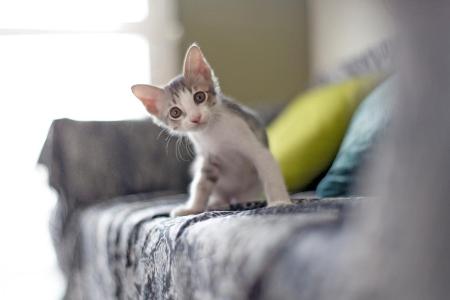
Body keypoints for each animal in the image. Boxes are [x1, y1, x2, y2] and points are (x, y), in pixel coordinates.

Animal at [132, 43, 290, 216]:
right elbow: (201, 185)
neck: (213, 132)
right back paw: (218, 202)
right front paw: (192, 208)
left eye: (199, 97)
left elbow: (270, 174)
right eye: (175, 112)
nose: (195, 117)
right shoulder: (207, 158)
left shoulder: (257, 148)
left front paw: (280, 202)